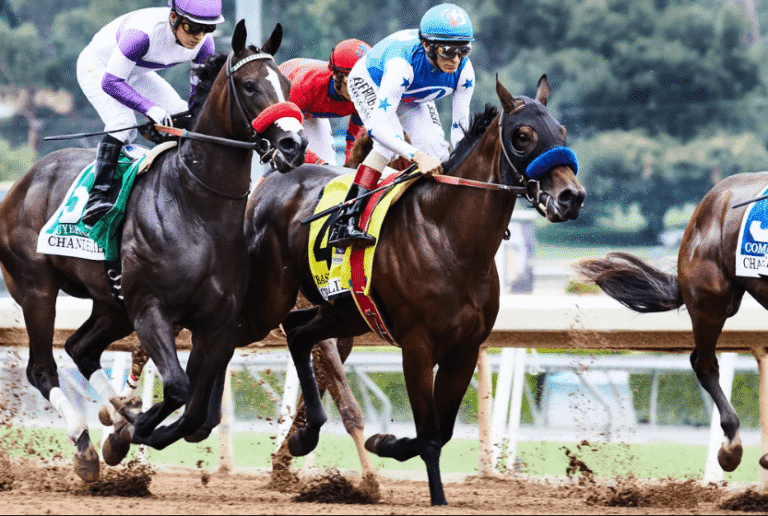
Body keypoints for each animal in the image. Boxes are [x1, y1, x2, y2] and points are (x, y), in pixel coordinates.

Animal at [0, 20, 306, 482]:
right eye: (250, 86)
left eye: (286, 83)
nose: (293, 144)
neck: (196, 207)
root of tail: (24, 181)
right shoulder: (151, 310)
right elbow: (178, 389)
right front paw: (129, 430)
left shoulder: (217, 323)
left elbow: (200, 415)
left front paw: (127, 427)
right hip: (37, 290)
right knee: (42, 368)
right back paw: (86, 445)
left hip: (112, 302)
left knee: (80, 348)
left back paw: (114, 414)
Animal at [234, 75, 585, 505]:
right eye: (522, 136)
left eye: (562, 131)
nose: (572, 197)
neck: (448, 237)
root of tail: (272, 178)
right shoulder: (417, 347)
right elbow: (430, 435)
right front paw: (436, 497)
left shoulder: (465, 348)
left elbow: (441, 431)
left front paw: (386, 443)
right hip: (271, 299)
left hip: (344, 313)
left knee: (299, 331)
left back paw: (306, 435)